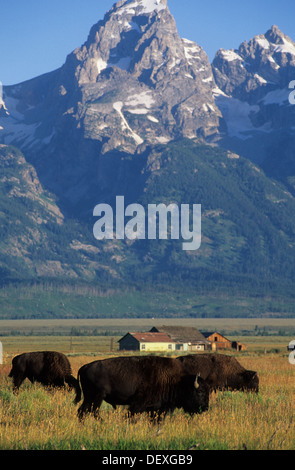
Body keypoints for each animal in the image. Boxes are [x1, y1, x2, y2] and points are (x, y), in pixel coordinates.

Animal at [75, 354, 212, 420]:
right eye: (199, 392)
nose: (205, 408)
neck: (177, 381)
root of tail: (85, 367)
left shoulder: (157, 409)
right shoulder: (137, 405)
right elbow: (130, 416)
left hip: (89, 398)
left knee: (82, 411)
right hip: (97, 397)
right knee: (92, 411)